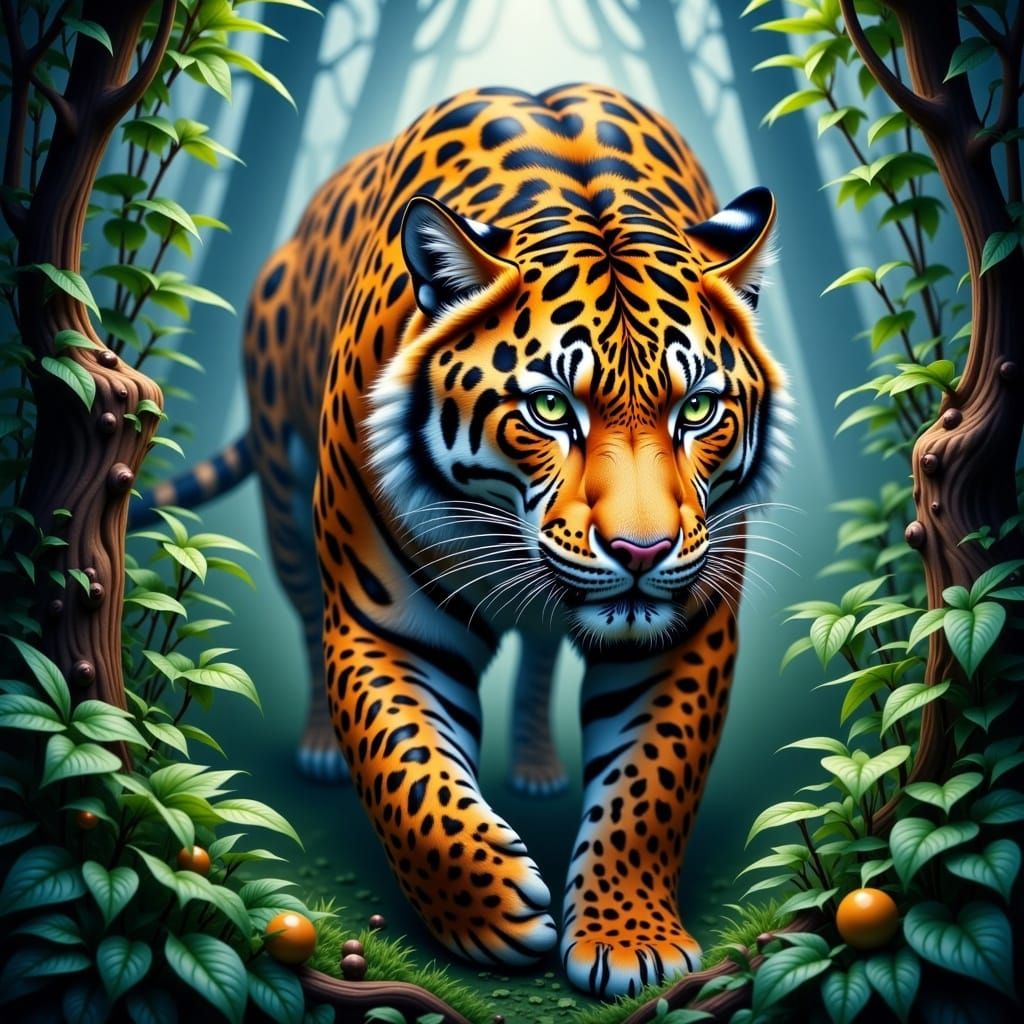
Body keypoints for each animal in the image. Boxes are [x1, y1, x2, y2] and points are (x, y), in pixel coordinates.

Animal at [135, 83, 788, 998]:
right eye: (549, 408)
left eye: (697, 409)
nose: (642, 554)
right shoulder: (385, 626)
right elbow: (406, 772)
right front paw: (490, 913)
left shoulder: (687, 629)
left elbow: (650, 784)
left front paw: (632, 940)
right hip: (282, 489)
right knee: (303, 615)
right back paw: (318, 747)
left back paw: (539, 763)